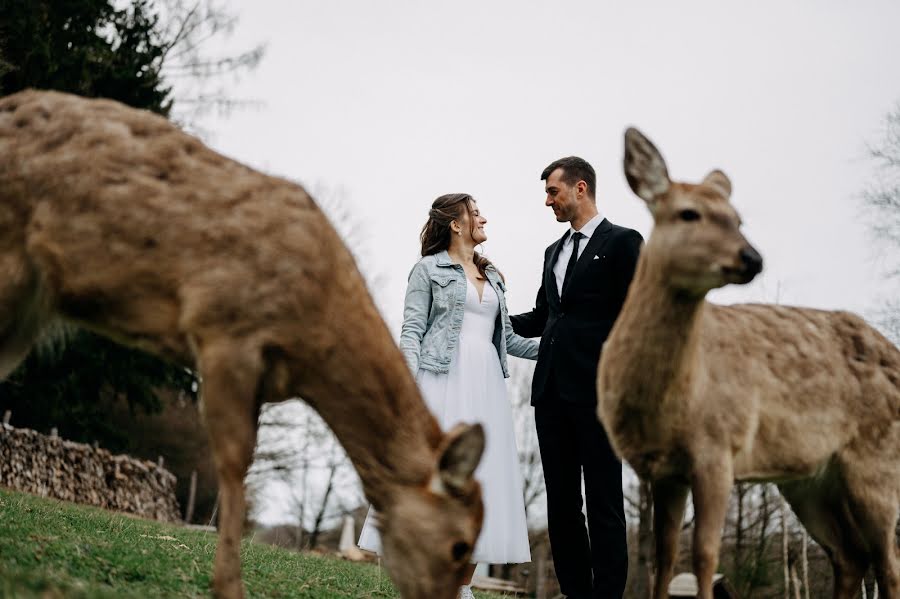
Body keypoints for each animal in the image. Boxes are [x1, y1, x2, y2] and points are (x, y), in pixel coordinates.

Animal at [0, 89, 486, 599]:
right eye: (459, 544)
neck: (310, 335)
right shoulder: (225, 330)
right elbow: (234, 463)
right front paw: (228, 585)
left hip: (30, 305)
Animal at [596, 126, 900, 599]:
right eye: (688, 213)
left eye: (738, 219)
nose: (752, 257)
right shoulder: (664, 472)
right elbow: (664, 558)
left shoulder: (719, 447)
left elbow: (705, 554)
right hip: (809, 480)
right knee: (851, 556)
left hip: (878, 461)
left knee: (888, 562)